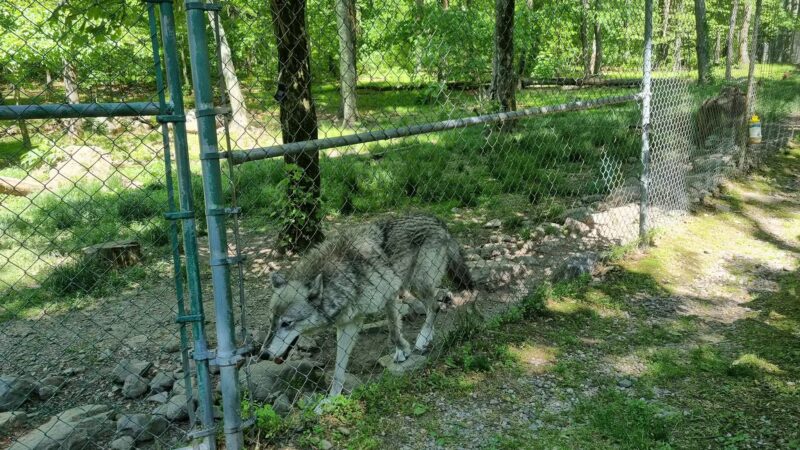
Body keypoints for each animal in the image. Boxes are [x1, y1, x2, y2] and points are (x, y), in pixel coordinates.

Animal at [261, 214, 474, 400]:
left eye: (286, 323)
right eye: (271, 320)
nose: (263, 354)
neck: (344, 275)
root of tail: (437, 219)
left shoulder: (389, 295)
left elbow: (393, 330)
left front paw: (402, 351)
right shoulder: (348, 324)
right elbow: (338, 369)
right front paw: (330, 400)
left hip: (418, 283)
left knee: (435, 305)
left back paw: (423, 338)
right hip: (414, 285)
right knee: (438, 299)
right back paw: (430, 331)